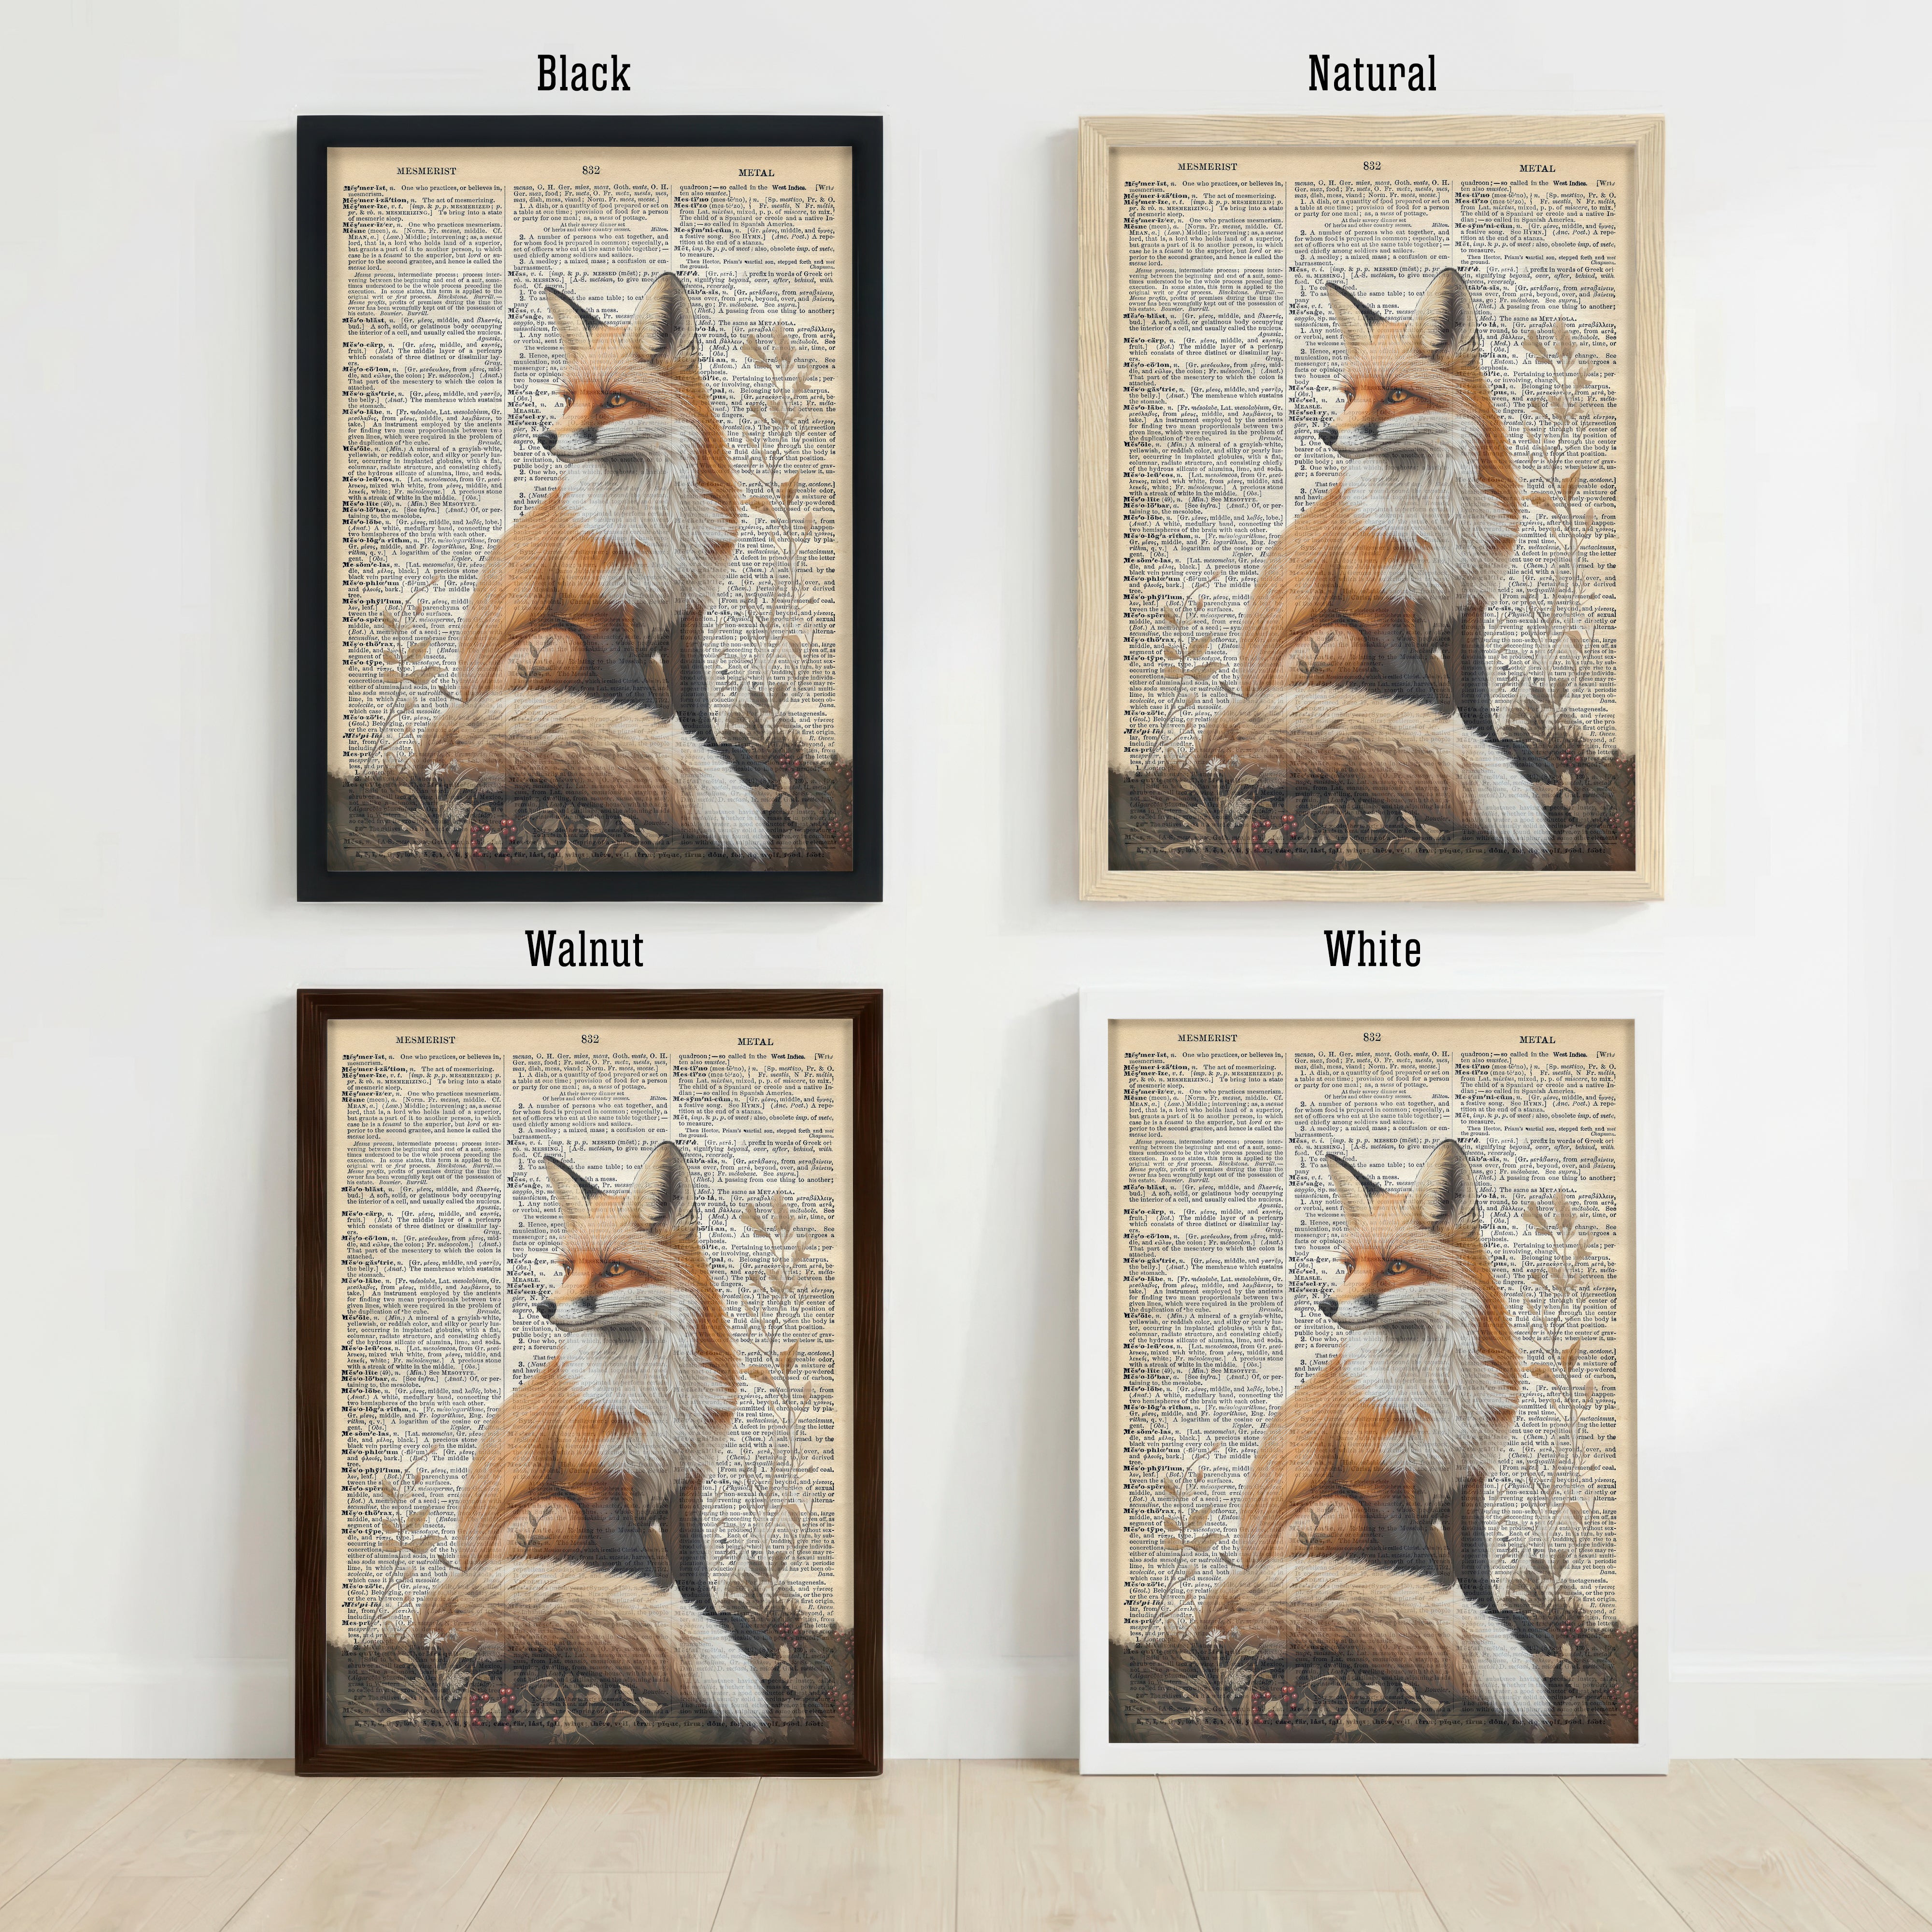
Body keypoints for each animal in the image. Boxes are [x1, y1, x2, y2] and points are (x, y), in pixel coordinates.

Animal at [411, 274, 769, 859]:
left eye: (615, 400)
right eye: (568, 400)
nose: (546, 438)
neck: (657, 519)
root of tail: (466, 704)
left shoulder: (687, 609)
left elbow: (695, 700)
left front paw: (714, 753)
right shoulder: (594, 615)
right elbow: (642, 716)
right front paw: (664, 758)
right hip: (560, 644)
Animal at [411, 1142, 769, 1726]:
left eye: (614, 1269)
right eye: (567, 1269)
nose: (545, 1306)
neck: (657, 1389)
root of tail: (465, 1572)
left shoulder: (686, 1477)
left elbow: (694, 1569)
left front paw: (712, 1622)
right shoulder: (594, 1484)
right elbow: (640, 1581)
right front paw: (666, 1627)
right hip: (559, 1514)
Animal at [1194, 1140, 1552, 1726]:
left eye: (1396, 1267)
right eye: (1348, 1267)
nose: (1327, 1304)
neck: (1439, 1387)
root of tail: (1247, 1571)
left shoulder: (1468, 1476)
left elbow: (1476, 1567)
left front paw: (1495, 1620)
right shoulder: (1376, 1481)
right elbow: (1422, 1578)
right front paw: (1451, 1627)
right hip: (1341, 1511)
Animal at [1195, 268, 1551, 855]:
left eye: (1396, 395)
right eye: (1348, 396)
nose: (1327, 433)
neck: (1439, 515)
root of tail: (1247, 699)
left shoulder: (1468, 605)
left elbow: (1476, 695)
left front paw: (1494, 748)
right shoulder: (1375, 610)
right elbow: (1422, 708)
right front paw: (1449, 755)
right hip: (1341, 640)